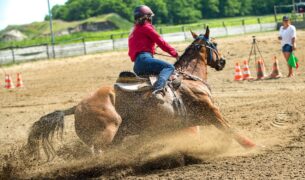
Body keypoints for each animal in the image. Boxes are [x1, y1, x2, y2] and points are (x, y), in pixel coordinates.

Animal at [25, 27, 254, 161]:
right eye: (214, 42)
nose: (222, 61)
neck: (188, 78)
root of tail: (76, 107)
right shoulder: (211, 111)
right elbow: (229, 129)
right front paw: (251, 145)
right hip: (109, 131)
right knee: (98, 154)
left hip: (119, 133)